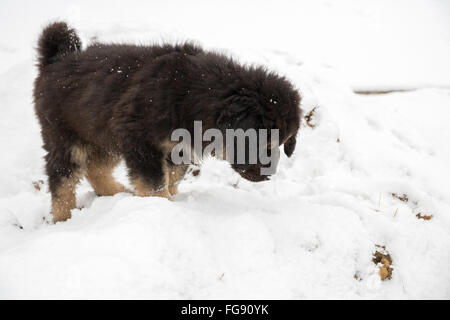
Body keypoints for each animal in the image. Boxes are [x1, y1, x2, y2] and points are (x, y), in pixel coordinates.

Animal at [34, 21, 302, 222]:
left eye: (282, 144)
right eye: (262, 144)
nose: (269, 175)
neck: (195, 94)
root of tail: (55, 60)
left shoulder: (175, 147)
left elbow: (172, 176)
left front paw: (171, 200)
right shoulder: (139, 140)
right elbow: (153, 182)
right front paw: (161, 205)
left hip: (103, 135)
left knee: (95, 168)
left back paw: (117, 192)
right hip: (67, 138)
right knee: (62, 180)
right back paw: (64, 218)